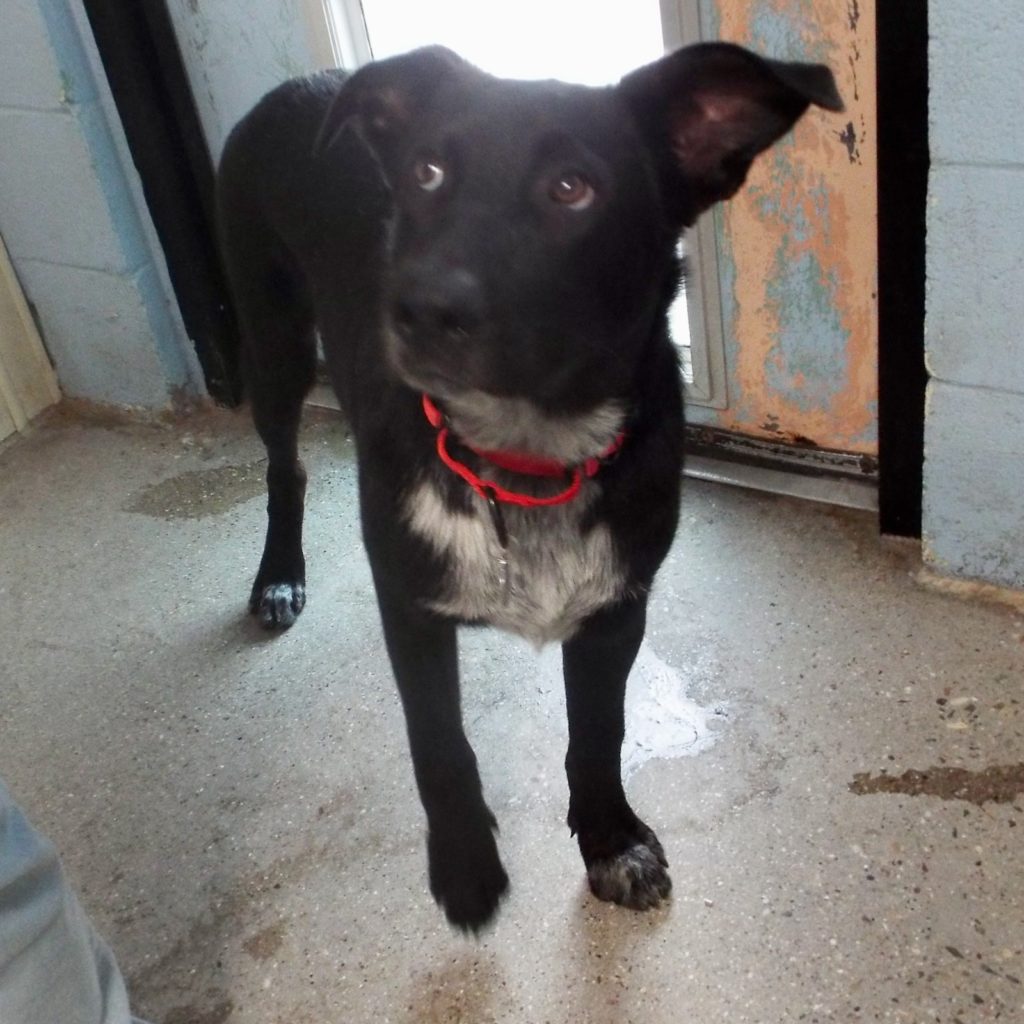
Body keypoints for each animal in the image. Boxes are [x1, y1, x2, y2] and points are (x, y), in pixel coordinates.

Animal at [216, 42, 841, 932]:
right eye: (427, 172)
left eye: (572, 188)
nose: (418, 310)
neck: (526, 457)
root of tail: (301, 81)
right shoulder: (410, 608)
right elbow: (439, 744)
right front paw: (466, 865)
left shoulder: (616, 609)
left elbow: (599, 733)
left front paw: (611, 840)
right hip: (273, 342)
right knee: (283, 466)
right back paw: (277, 575)